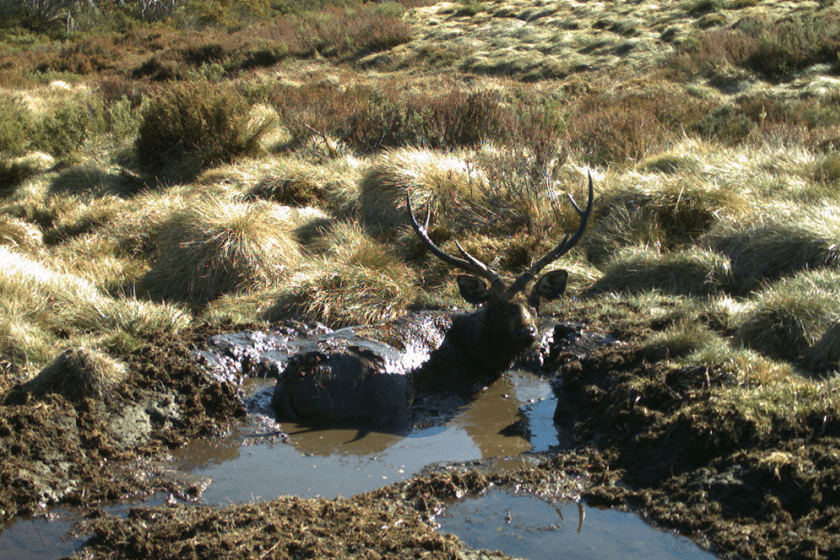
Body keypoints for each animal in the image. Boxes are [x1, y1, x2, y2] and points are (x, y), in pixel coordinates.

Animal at [272, 173, 594, 427]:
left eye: (536, 300)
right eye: (496, 303)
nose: (527, 331)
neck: (482, 357)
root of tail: (297, 375)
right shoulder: (463, 381)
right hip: (389, 395)